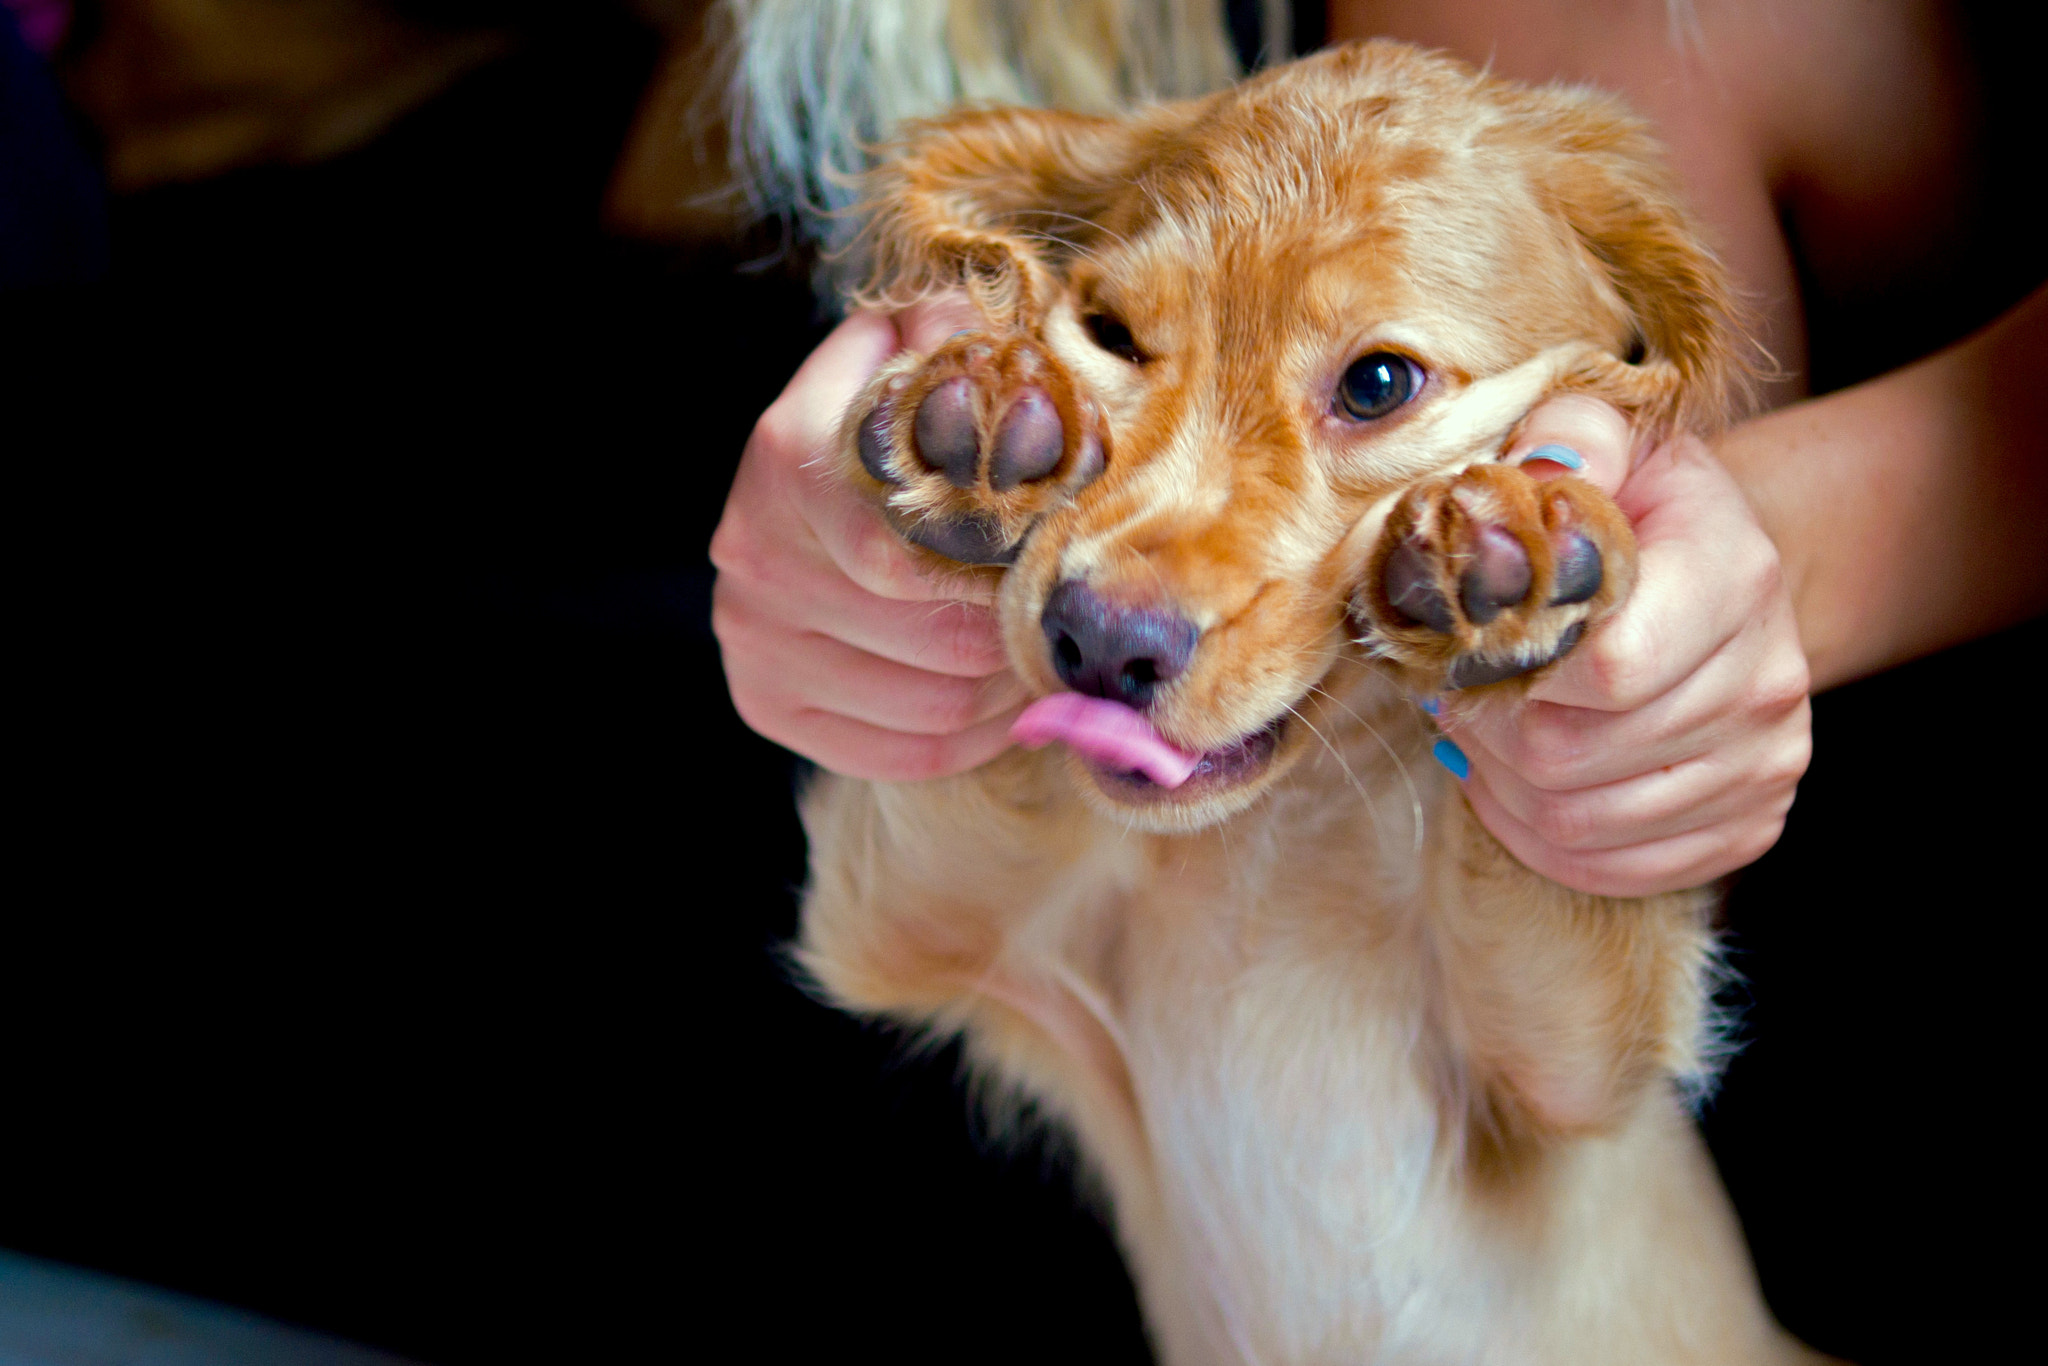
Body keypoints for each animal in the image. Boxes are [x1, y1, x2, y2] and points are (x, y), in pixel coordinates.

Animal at [790, 42, 1818, 1366]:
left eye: (1378, 384)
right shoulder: (904, 920)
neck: (1266, 847)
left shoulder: (1566, 1059)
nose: (1096, 642)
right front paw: (975, 422)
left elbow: (1539, 854)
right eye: (1108, 333)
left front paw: (1518, 543)